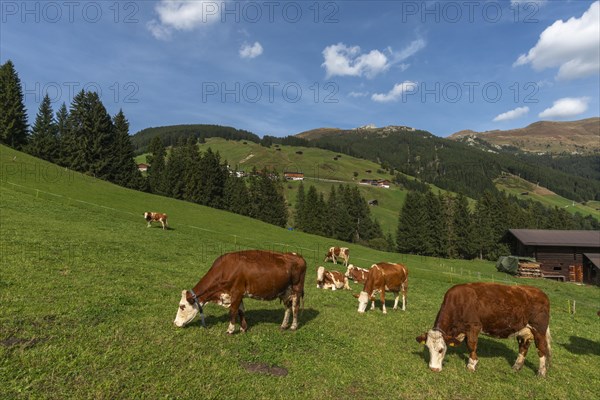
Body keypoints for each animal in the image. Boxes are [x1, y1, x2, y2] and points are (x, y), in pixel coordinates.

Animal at [172, 250, 304, 334]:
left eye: (182, 306)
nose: (175, 323)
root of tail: (297, 255)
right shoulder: (238, 294)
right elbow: (241, 311)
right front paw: (243, 328)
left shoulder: (236, 292)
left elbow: (233, 311)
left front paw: (230, 330)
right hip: (285, 291)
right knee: (287, 308)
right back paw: (283, 325)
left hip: (296, 289)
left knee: (295, 307)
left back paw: (293, 326)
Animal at [414, 282, 552, 376]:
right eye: (428, 348)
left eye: (441, 350)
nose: (433, 369)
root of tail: (540, 292)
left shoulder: (474, 326)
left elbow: (471, 345)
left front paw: (471, 365)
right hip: (524, 330)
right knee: (523, 347)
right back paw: (516, 367)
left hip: (539, 329)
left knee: (542, 349)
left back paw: (541, 372)